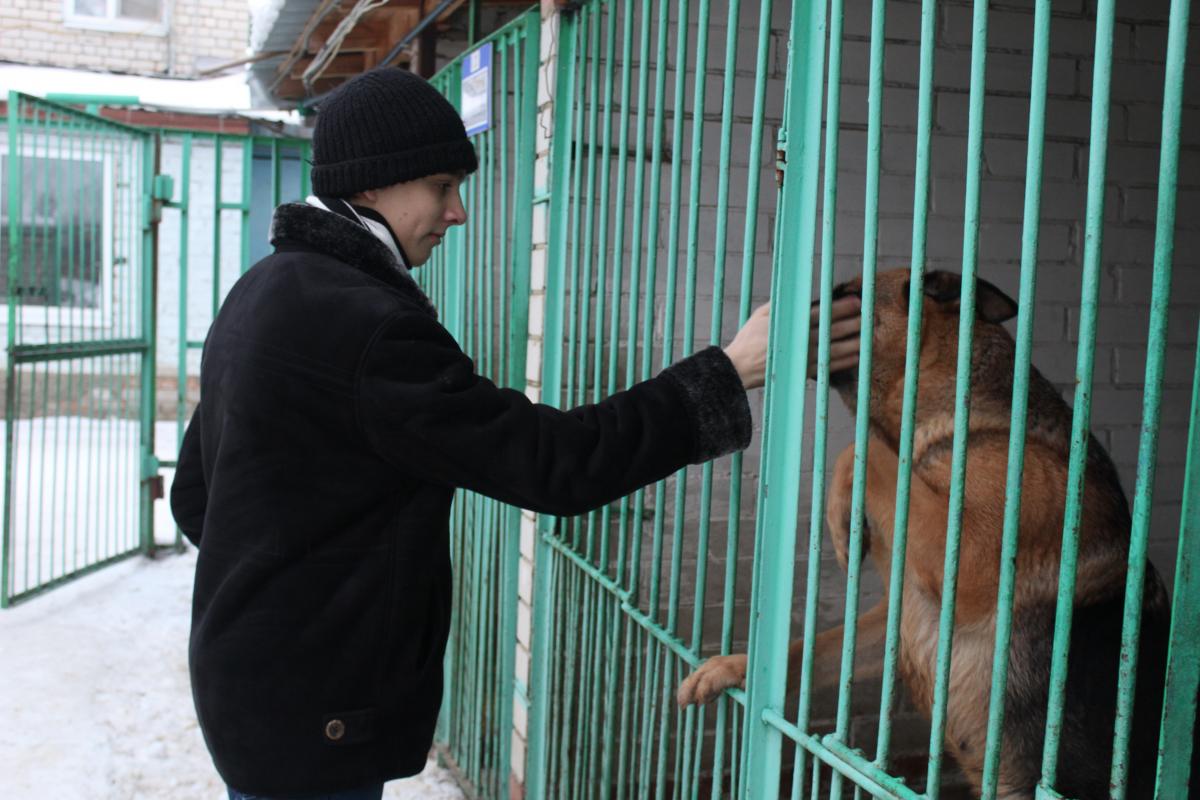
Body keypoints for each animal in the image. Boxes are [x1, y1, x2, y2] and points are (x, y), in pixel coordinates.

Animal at [676, 271, 1190, 800]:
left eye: (848, 292)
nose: (764, 321)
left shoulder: (968, 562)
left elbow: (864, 448)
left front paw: (841, 520)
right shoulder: (905, 612)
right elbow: (814, 647)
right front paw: (737, 665)